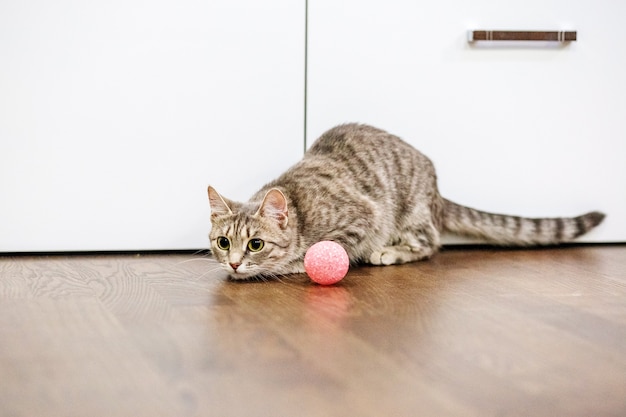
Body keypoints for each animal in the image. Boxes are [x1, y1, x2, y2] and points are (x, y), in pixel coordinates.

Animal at [207, 123, 604, 280]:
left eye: (256, 244)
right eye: (223, 242)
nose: (234, 264)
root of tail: (436, 189)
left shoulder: (365, 215)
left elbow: (326, 249)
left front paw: (292, 264)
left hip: (409, 211)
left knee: (430, 244)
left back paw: (390, 251)